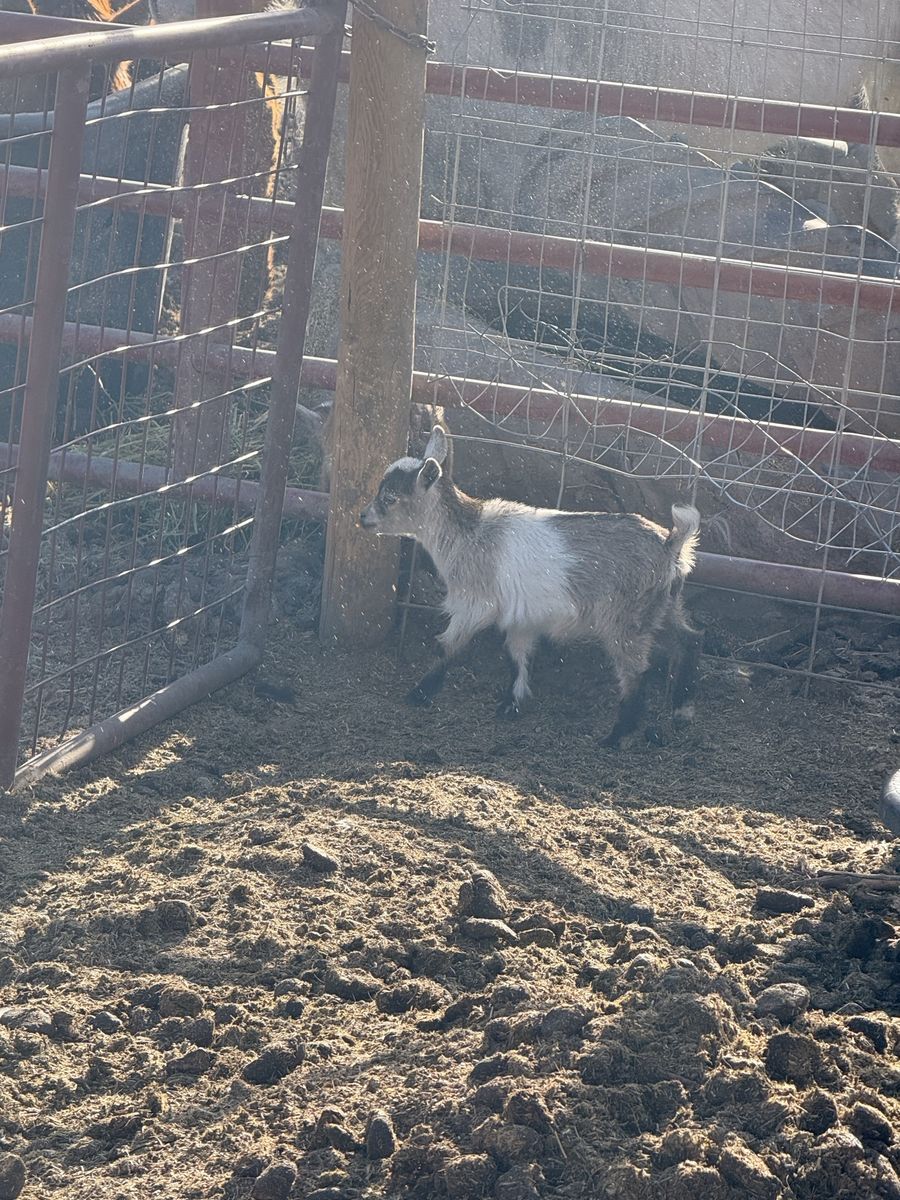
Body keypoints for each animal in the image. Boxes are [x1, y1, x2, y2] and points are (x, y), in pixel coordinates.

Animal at [360, 423, 702, 745]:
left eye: (389, 498)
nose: (363, 518)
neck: (468, 534)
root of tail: (671, 544)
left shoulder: (475, 603)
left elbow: (446, 645)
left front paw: (419, 693)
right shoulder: (522, 616)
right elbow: (517, 654)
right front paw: (512, 703)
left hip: (624, 618)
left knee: (635, 672)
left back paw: (617, 736)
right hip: (664, 604)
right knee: (688, 640)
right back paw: (682, 709)